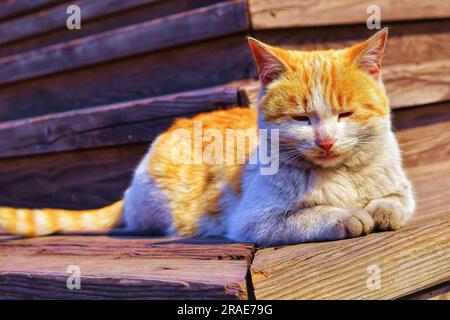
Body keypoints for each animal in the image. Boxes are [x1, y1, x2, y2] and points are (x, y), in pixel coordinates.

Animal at [0, 28, 414, 246]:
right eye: (301, 118)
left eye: (346, 114)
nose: (325, 141)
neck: (338, 175)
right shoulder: (255, 222)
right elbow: (310, 216)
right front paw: (347, 215)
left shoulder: (403, 189)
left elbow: (395, 202)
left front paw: (380, 210)